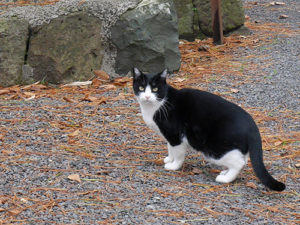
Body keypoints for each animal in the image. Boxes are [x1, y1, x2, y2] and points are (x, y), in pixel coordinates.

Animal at [133, 67, 286, 192]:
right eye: (141, 88)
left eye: (155, 89)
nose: (147, 96)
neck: (158, 105)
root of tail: (252, 125)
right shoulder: (169, 136)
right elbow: (169, 148)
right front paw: (168, 159)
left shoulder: (175, 135)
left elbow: (178, 154)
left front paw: (174, 166)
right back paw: (225, 173)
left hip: (214, 149)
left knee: (239, 163)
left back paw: (225, 178)